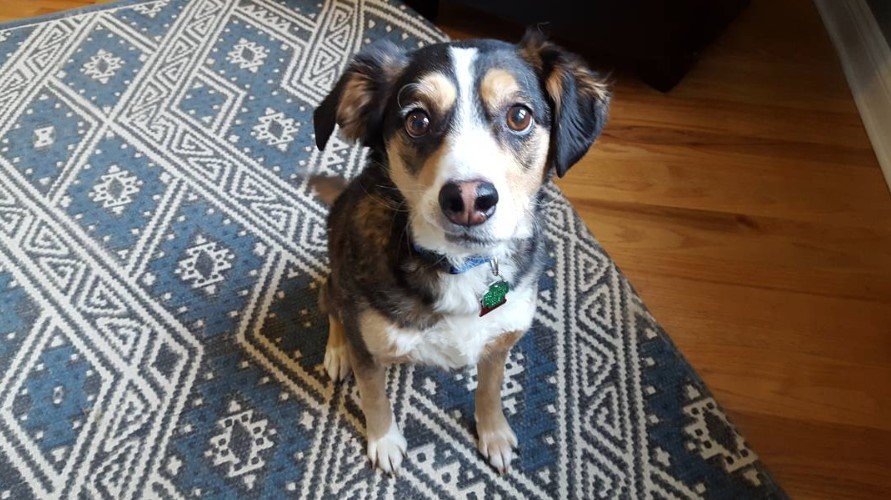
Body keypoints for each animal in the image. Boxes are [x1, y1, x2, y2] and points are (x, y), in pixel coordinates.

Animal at [310, 29, 608, 474]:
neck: (458, 267)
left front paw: (494, 434)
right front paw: (384, 442)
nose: (469, 200)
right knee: (332, 304)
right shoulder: (370, 345)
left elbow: (491, 388)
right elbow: (374, 394)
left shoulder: (501, 339)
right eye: (417, 120)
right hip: (338, 277)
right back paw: (337, 351)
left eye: (519, 116)